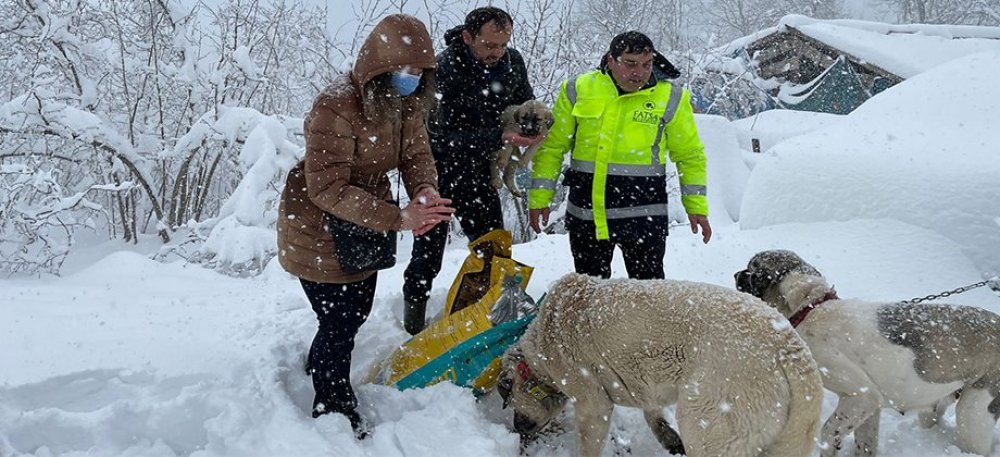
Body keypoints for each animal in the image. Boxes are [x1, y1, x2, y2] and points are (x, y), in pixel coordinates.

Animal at [498, 272, 820, 454]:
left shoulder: (593, 406)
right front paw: (667, 438)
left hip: (706, 425)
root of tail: (789, 347)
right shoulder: (645, 387)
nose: (518, 429)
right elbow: (652, 412)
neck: (541, 347)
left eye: (510, 399)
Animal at [736, 249, 1000, 456]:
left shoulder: (862, 395)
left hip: (974, 414)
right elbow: (865, 444)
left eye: (752, 270)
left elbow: (828, 432)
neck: (812, 308)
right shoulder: (869, 408)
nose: (736, 274)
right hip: (936, 407)